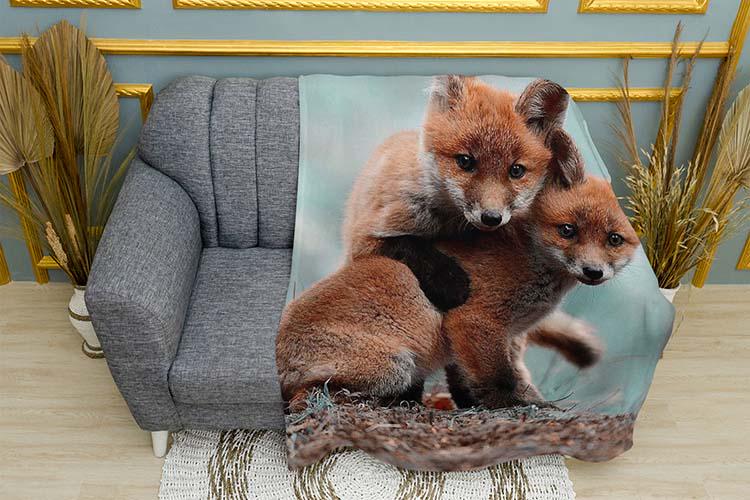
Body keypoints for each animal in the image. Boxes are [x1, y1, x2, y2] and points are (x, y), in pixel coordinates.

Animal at [277, 133, 639, 411]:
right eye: (567, 231)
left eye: (614, 239)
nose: (593, 271)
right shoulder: (474, 322)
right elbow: (500, 380)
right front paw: (518, 407)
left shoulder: (505, 337)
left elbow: (480, 380)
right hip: (393, 367)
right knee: (306, 397)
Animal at [342, 75, 570, 311]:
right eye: (465, 161)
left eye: (516, 170)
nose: (491, 218)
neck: (448, 225)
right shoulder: (363, 239)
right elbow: (409, 246)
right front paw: (449, 281)